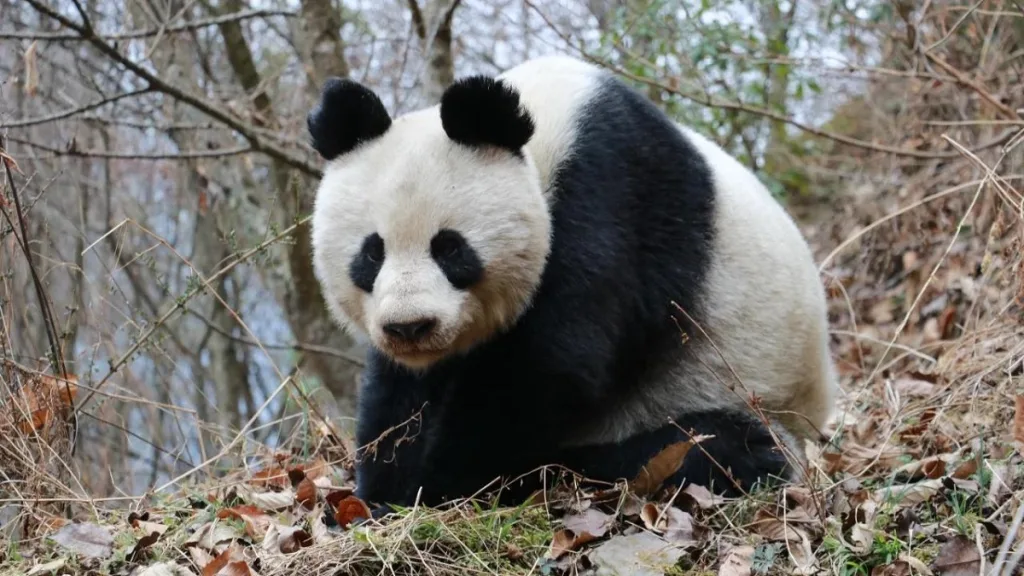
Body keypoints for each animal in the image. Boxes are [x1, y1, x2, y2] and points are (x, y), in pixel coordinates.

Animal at [307, 55, 838, 513]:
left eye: (450, 248)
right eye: (372, 253)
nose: (410, 327)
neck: (548, 132)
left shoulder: (610, 195)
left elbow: (551, 367)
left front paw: (438, 488)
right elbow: (399, 393)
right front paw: (376, 493)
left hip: (739, 390)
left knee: (714, 448)